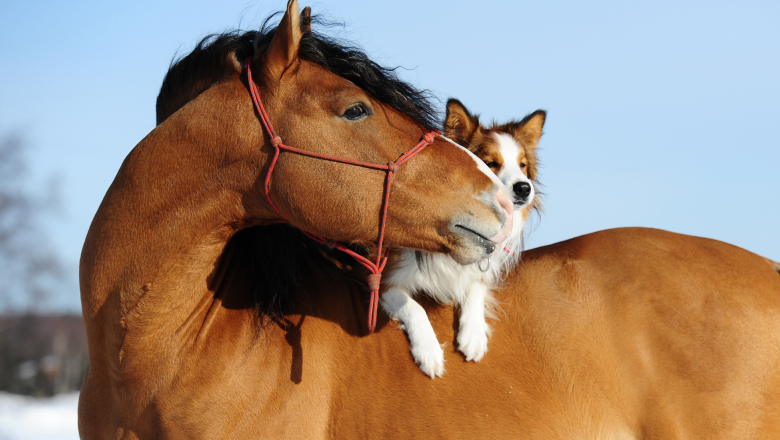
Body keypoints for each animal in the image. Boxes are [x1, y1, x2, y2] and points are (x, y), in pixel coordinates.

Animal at [380, 99, 544, 378]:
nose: (524, 188)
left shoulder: (481, 269)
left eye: (522, 165)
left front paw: (474, 335)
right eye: (491, 163)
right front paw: (429, 351)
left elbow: (476, 285)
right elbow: (413, 306)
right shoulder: (385, 278)